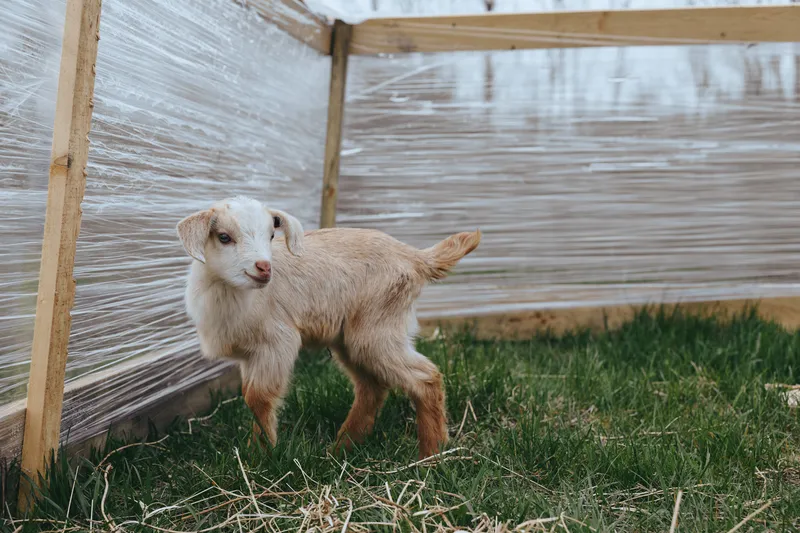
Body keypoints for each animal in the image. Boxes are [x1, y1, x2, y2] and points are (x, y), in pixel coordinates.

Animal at [177, 196, 480, 458]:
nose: (264, 268)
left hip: (378, 328)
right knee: (372, 387)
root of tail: (415, 258)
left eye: (272, 235)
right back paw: (342, 447)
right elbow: (250, 397)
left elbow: (258, 398)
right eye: (224, 237)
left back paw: (431, 453)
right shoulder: (249, 355)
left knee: (425, 378)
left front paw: (261, 456)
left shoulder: (276, 342)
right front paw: (257, 452)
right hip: (351, 338)